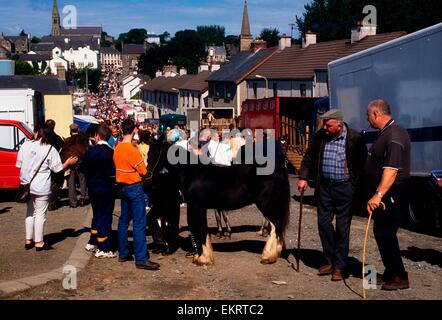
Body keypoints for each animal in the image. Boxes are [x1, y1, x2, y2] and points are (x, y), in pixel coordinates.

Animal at [148, 138, 290, 264]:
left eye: (151, 154)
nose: (147, 176)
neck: (191, 174)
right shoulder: (199, 208)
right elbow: (200, 229)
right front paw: (201, 256)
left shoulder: (196, 206)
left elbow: (200, 230)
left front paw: (203, 259)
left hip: (267, 205)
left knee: (275, 226)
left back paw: (268, 257)